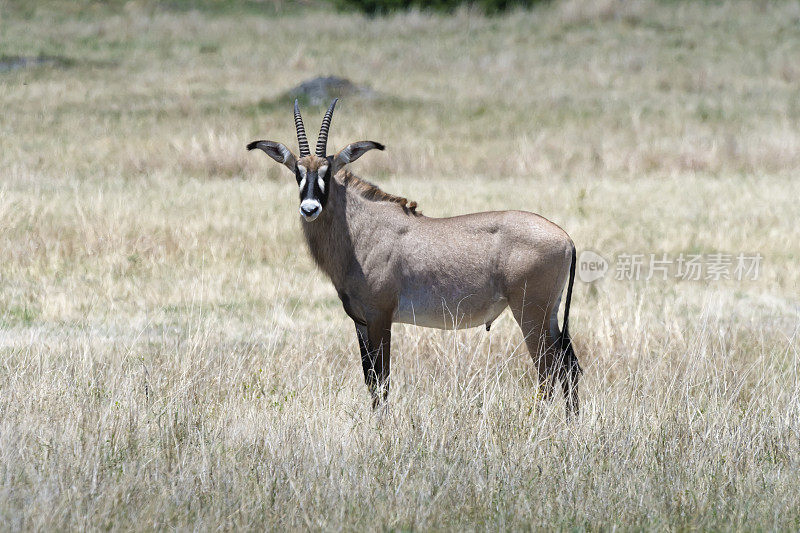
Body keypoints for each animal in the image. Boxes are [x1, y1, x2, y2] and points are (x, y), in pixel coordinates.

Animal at [247, 100, 584, 416]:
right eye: (297, 172)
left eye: (327, 172)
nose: (310, 209)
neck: (360, 230)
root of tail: (565, 238)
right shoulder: (360, 321)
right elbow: (369, 379)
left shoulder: (380, 317)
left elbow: (382, 379)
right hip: (550, 315)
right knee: (569, 367)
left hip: (530, 313)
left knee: (547, 370)